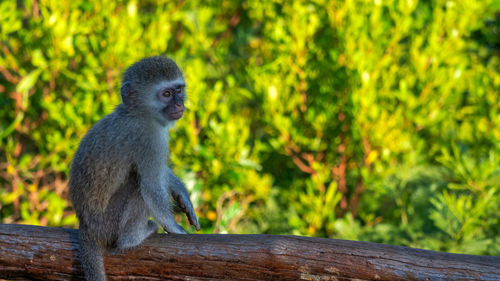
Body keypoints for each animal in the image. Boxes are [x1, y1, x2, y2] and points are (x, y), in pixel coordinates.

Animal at [69, 55, 198, 280]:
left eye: (179, 90)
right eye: (166, 94)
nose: (179, 103)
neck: (138, 114)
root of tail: (86, 227)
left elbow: (160, 175)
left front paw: (182, 194)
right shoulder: (148, 138)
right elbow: (150, 184)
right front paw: (174, 227)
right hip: (108, 224)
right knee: (138, 188)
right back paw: (131, 238)